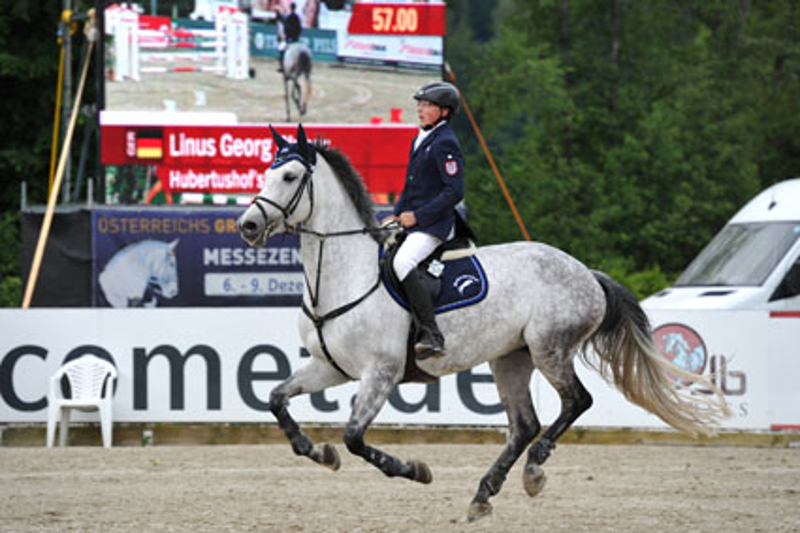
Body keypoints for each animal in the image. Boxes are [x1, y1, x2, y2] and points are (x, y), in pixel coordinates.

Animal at [234, 125, 728, 520]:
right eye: (265, 174)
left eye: (290, 177)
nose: (248, 226)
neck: (344, 275)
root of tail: (587, 272)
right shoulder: (330, 368)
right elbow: (276, 400)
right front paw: (318, 452)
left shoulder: (381, 372)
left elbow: (355, 436)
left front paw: (414, 470)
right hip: (511, 358)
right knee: (524, 424)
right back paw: (483, 494)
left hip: (550, 349)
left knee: (574, 402)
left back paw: (534, 470)